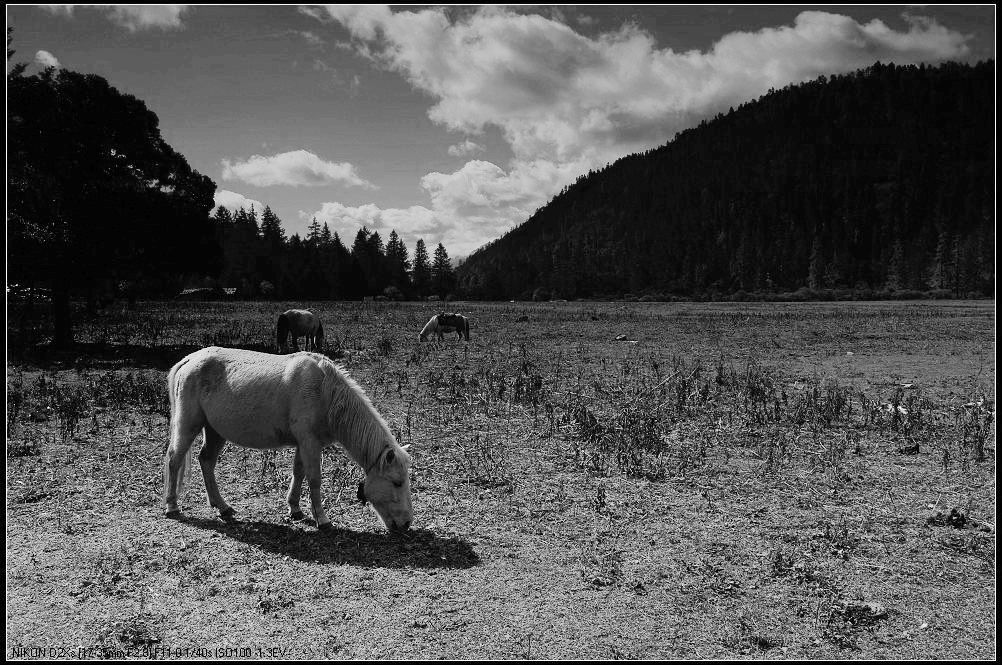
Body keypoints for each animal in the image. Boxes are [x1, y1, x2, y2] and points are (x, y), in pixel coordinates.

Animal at [163, 348, 410, 528]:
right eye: (397, 482)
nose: (407, 524)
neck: (325, 391)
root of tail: (189, 360)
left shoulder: (304, 443)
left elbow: (298, 473)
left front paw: (295, 509)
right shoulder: (309, 442)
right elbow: (314, 478)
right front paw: (322, 519)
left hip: (215, 430)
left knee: (206, 461)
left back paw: (222, 507)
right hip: (189, 425)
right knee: (174, 459)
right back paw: (172, 507)